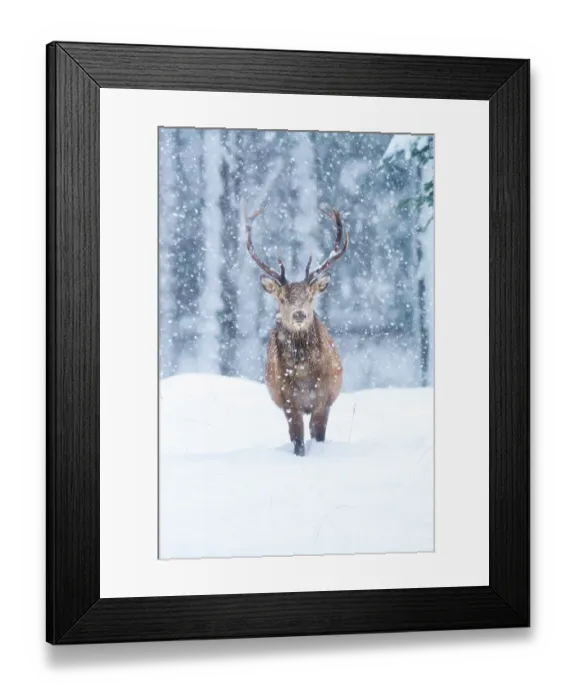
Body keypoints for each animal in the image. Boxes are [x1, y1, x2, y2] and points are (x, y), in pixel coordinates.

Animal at [246, 207, 349, 456]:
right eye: (282, 298)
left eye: (310, 296)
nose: (299, 314)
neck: (303, 375)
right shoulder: (289, 401)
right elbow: (298, 441)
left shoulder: (324, 399)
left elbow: (318, 436)